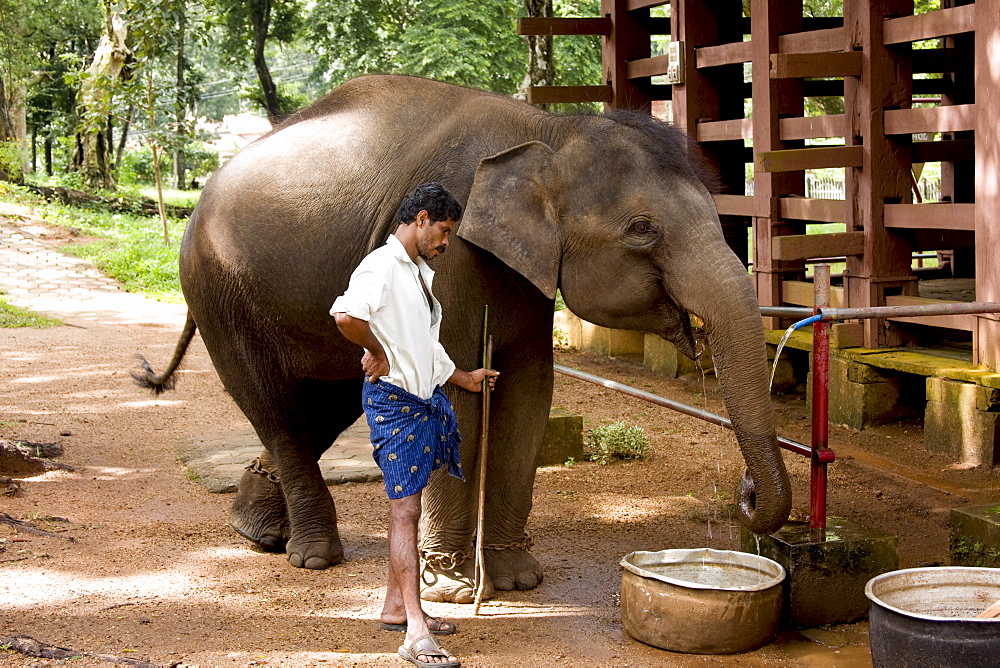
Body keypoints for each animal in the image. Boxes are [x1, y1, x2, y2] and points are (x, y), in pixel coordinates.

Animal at [141, 74, 792, 604]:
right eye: (641, 230)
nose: (746, 491)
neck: (550, 131)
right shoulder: (453, 257)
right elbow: (456, 394)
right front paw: (451, 589)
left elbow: (529, 398)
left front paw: (518, 580)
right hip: (219, 291)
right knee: (276, 407)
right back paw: (314, 556)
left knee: (322, 405)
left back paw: (258, 530)